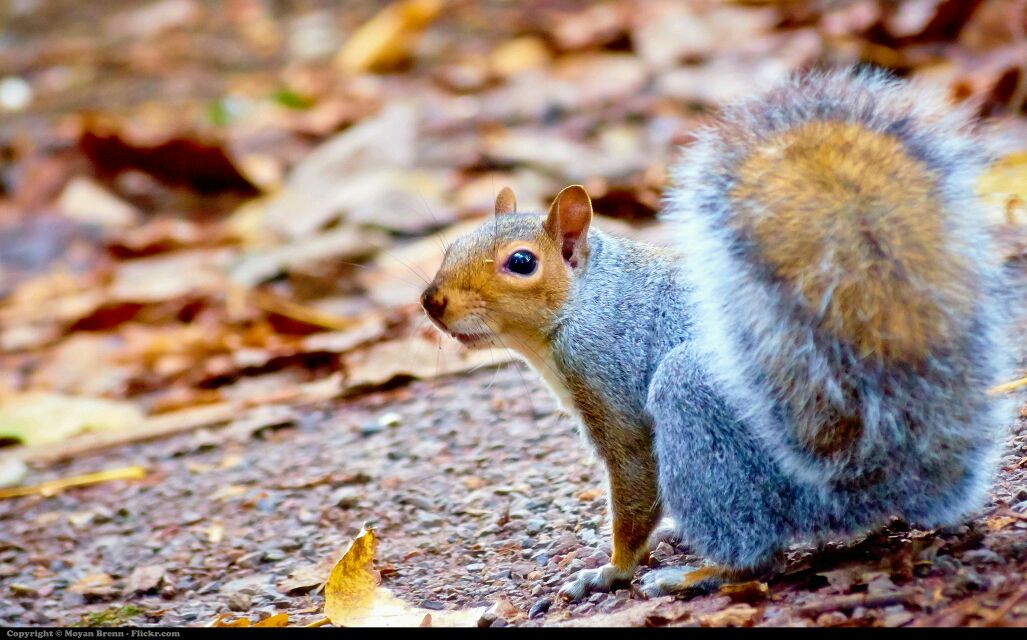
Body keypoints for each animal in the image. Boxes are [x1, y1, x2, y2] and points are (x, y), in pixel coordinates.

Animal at [414, 68, 1010, 599]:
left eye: (521, 262)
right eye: (453, 245)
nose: (432, 301)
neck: (587, 302)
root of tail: (861, 487)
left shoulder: (610, 386)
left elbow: (634, 481)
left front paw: (612, 569)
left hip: (699, 408)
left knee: (757, 550)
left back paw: (696, 574)